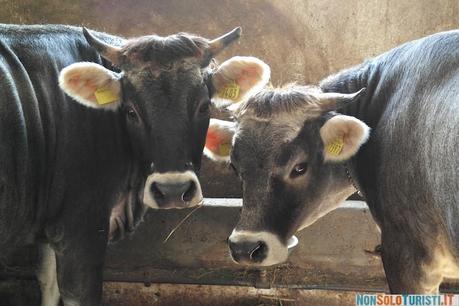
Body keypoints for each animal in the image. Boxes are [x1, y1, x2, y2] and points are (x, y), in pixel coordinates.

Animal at [0, 24, 272, 306]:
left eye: (204, 106)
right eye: (131, 111)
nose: (173, 190)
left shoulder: (47, 226)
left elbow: (48, 284)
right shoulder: (80, 231)